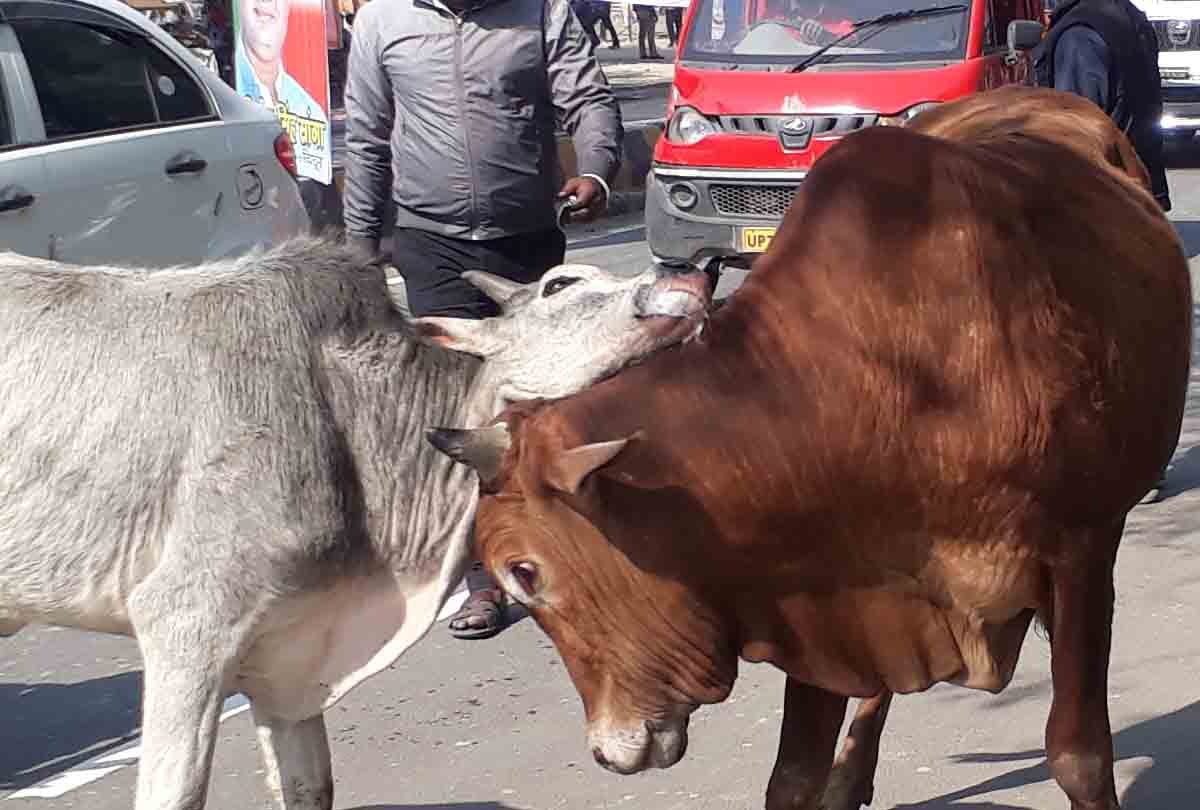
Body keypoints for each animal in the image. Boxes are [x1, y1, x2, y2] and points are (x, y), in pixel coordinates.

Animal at [429, 91, 1192, 810]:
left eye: (524, 571)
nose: (608, 752)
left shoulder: (1081, 552)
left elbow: (1077, 753)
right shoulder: (820, 595)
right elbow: (793, 775)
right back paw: (851, 775)